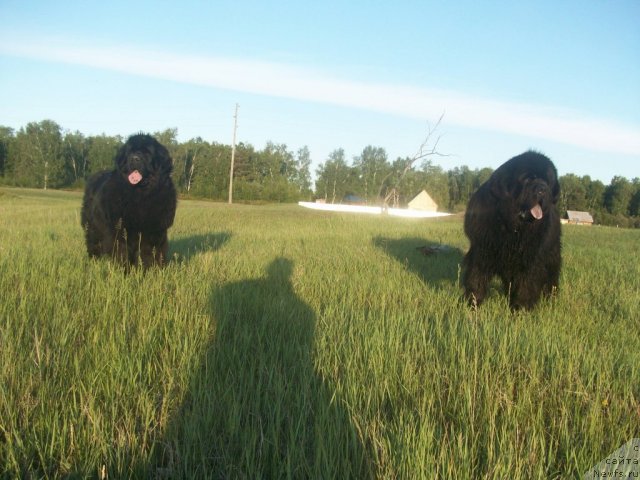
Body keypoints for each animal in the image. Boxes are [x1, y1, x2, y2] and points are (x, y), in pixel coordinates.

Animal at [82, 134, 180, 270]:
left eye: (147, 152)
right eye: (130, 152)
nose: (135, 159)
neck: (140, 195)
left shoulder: (154, 230)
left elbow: (149, 252)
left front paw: (150, 270)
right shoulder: (120, 230)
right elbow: (122, 251)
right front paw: (124, 270)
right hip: (93, 226)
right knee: (93, 242)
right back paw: (94, 260)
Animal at [464, 151, 560, 312]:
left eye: (547, 182)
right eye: (528, 179)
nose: (543, 189)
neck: (511, 227)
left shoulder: (531, 259)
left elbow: (526, 284)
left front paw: (521, 309)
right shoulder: (481, 251)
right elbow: (476, 279)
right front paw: (472, 305)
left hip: (552, 256)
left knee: (551, 280)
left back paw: (550, 300)